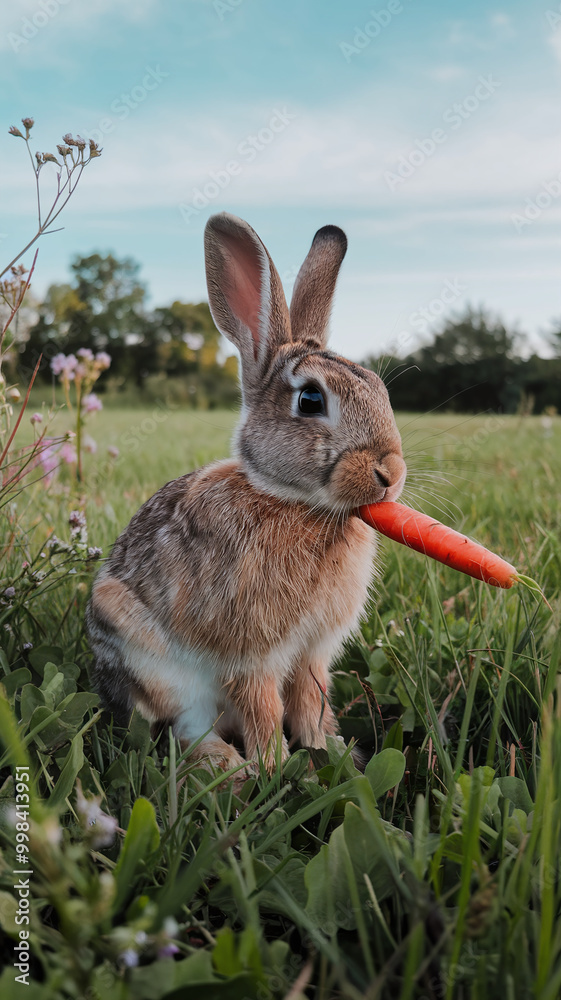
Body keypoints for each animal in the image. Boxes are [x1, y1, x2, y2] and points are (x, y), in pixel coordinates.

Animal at [86, 212, 407, 773]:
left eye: (379, 388)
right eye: (310, 399)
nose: (390, 470)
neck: (297, 503)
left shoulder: (311, 652)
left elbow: (309, 698)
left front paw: (329, 751)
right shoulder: (251, 654)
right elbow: (262, 706)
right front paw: (276, 767)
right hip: (155, 666)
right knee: (184, 729)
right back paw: (231, 771)